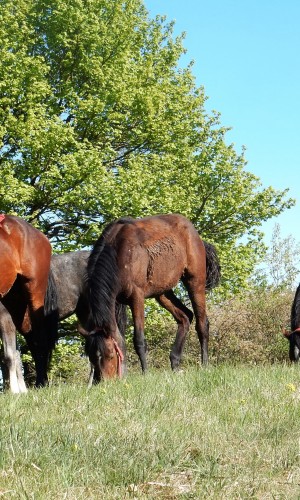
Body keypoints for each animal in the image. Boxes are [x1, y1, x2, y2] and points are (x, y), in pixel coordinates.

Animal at [85, 212, 220, 378]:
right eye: (91, 357)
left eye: (110, 355)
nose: (102, 381)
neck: (119, 252)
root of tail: (195, 234)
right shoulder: (116, 301)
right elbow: (121, 339)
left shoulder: (136, 297)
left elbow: (139, 340)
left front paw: (145, 373)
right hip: (162, 292)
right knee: (185, 317)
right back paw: (175, 363)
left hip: (195, 283)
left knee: (202, 324)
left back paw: (205, 364)